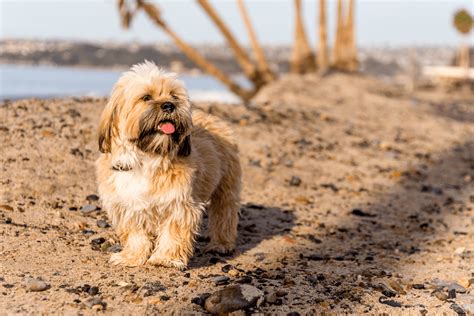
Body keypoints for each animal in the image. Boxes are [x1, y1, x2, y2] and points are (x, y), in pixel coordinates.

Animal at [96, 61, 243, 270]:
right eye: (146, 97)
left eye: (173, 96)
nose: (169, 105)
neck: (146, 158)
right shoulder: (128, 206)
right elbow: (135, 235)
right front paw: (132, 257)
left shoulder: (179, 204)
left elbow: (173, 233)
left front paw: (166, 258)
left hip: (226, 186)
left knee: (225, 212)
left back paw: (221, 243)